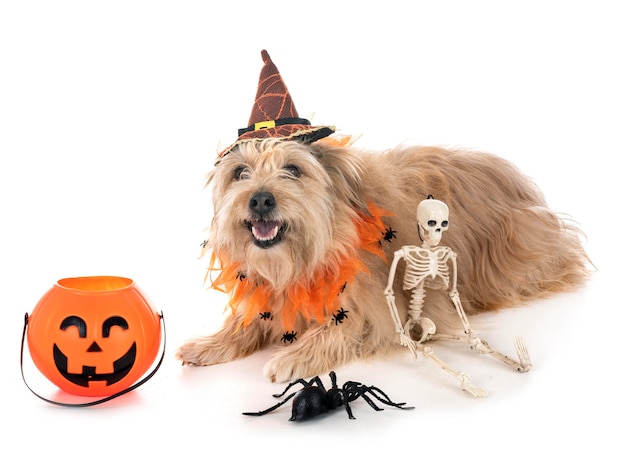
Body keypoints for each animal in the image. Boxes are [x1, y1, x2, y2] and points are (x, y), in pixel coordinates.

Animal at [177, 137, 588, 384]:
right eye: (239, 173)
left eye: (293, 169)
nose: (261, 199)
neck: (299, 261)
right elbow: (243, 322)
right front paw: (208, 344)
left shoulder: (375, 314)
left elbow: (337, 329)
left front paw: (290, 358)